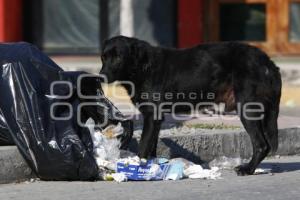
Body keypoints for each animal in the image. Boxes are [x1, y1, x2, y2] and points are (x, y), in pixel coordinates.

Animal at [100, 36, 282, 175]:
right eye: (103, 57)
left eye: (118, 57)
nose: (101, 76)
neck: (142, 67)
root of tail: (267, 61)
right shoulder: (156, 120)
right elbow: (151, 147)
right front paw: (152, 167)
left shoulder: (152, 116)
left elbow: (144, 146)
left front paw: (138, 167)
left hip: (247, 109)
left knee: (261, 144)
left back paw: (247, 169)